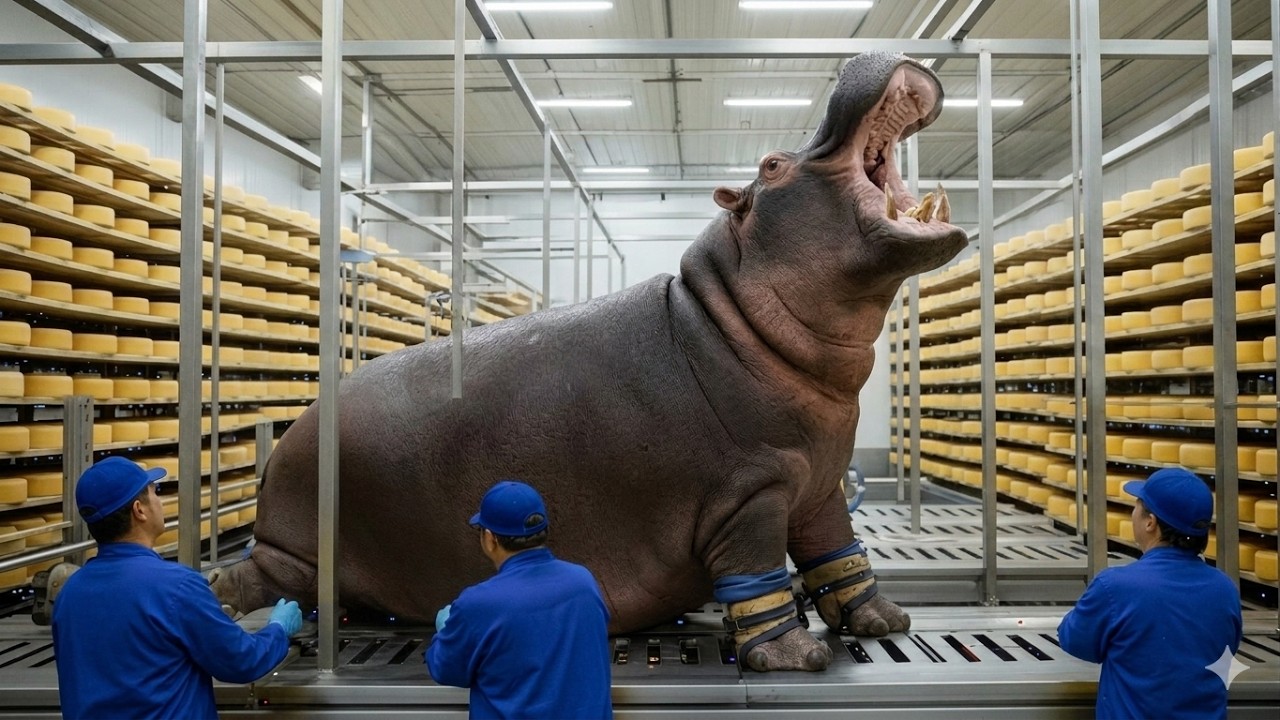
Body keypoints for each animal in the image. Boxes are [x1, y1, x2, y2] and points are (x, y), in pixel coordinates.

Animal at [210, 51, 967, 672]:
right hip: (296, 544)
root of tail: (291, 432)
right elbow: (761, 573)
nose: (850, 61)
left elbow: (840, 555)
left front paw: (883, 620)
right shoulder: (751, 495)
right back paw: (225, 597)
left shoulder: (819, 486)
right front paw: (794, 656)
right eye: (772, 165)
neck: (731, 322)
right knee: (255, 575)